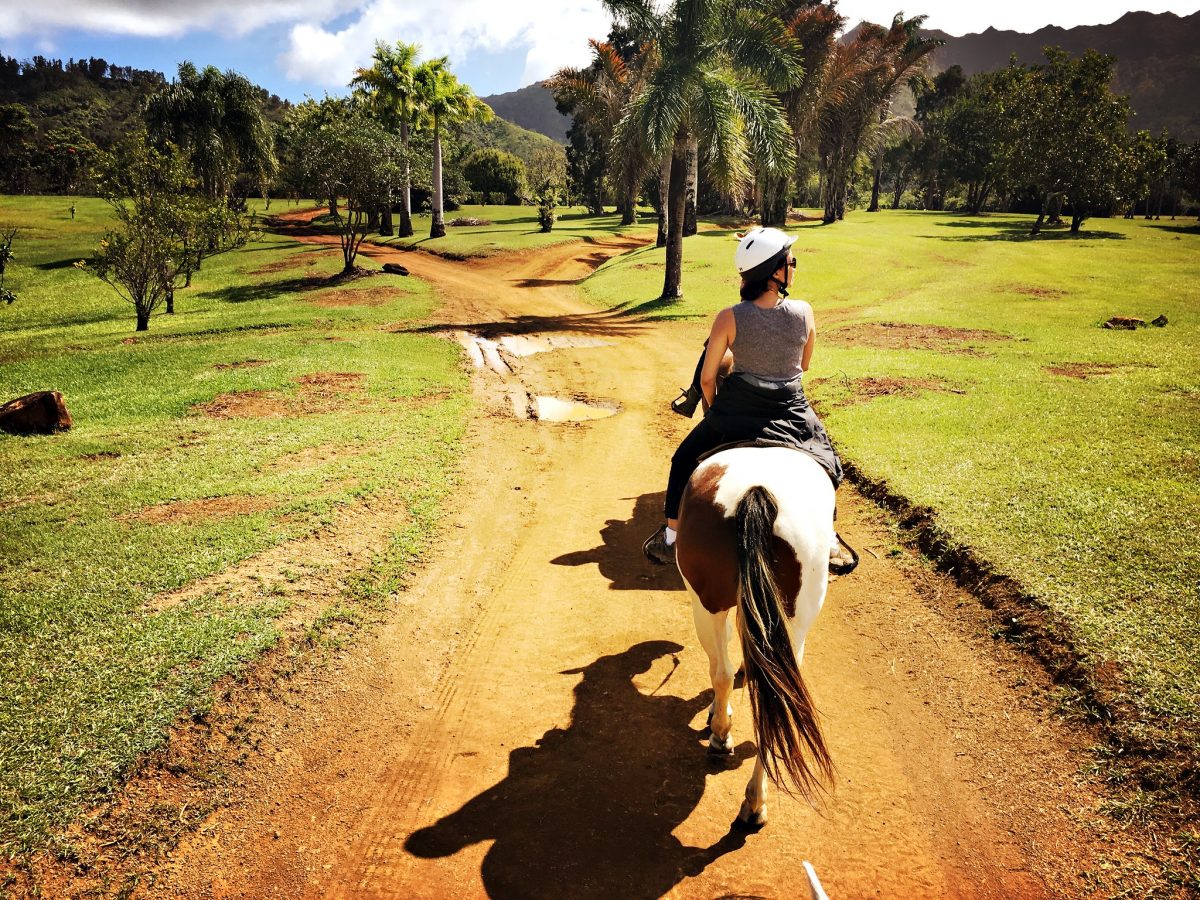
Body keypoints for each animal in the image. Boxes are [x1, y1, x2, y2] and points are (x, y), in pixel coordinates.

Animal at [676, 448, 835, 830]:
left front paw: (719, 719)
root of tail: (758, 492)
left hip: (707, 605)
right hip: (792, 621)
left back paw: (721, 738)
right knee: (776, 696)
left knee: (723, 673)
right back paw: (755, 801)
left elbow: (723, 668)